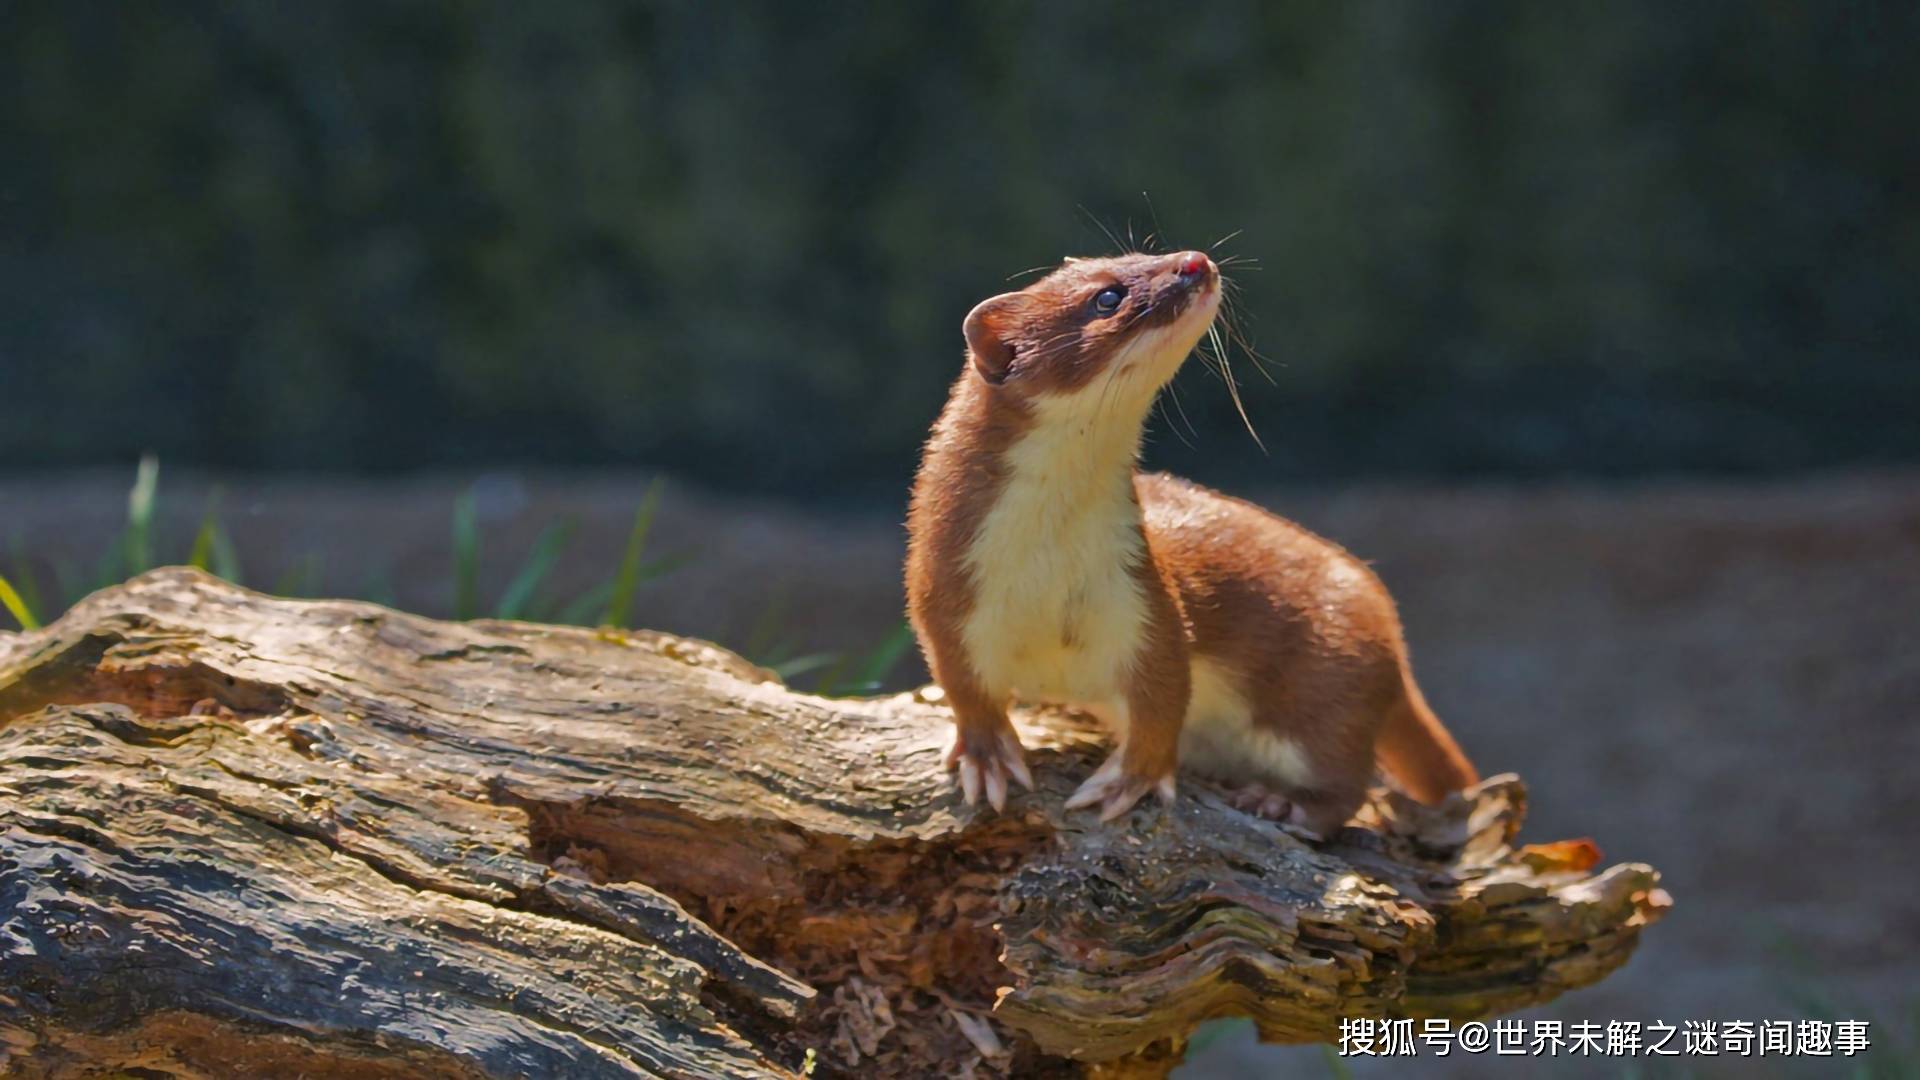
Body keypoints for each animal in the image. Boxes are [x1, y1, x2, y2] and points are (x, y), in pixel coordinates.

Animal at [906, 247, 1474, 826]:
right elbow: (963, 686)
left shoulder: (1143, 602)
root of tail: (1390, 633)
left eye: (1144, 248)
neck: (1047, 570)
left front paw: (1128, 781)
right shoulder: (945, 597)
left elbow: (1163, 699)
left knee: (1345, 781)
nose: (1195, 260)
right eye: (1107, 294)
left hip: (1326, 684)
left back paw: (1278, 800)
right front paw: (987, 757)